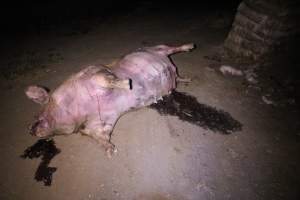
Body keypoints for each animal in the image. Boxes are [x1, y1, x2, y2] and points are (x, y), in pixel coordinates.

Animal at [25, 43, 195, 156]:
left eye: (38, 115)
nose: (29, 130)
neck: (80, 110)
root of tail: (172, 68)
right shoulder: (99, 122)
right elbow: (101, 135)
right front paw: (111, 151)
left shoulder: (96, 72)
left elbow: (107, 79)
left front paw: (127, 84)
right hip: (172, 76)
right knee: (177, 77)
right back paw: (187, 79)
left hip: (157, 47)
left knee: (172, 48)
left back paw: (190, 47)